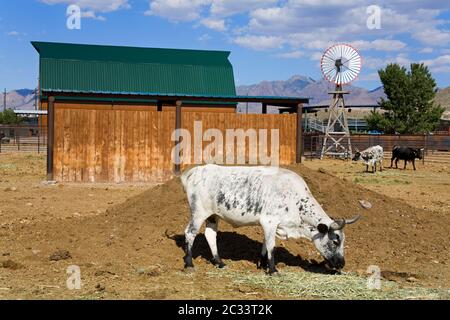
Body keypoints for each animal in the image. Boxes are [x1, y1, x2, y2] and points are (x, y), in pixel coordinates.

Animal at [181, 165, 360, 276]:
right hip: (198, 213)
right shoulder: (269, 222)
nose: (341, 263)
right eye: (335, 241)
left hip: (213, 216)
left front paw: (262, 263)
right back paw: (189, 264)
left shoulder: (271, 225)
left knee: (210, 235)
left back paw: (219, 262)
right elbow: (271, 246)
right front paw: (273, 269)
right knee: (190, 233)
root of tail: (197, 170)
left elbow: (265, 243)